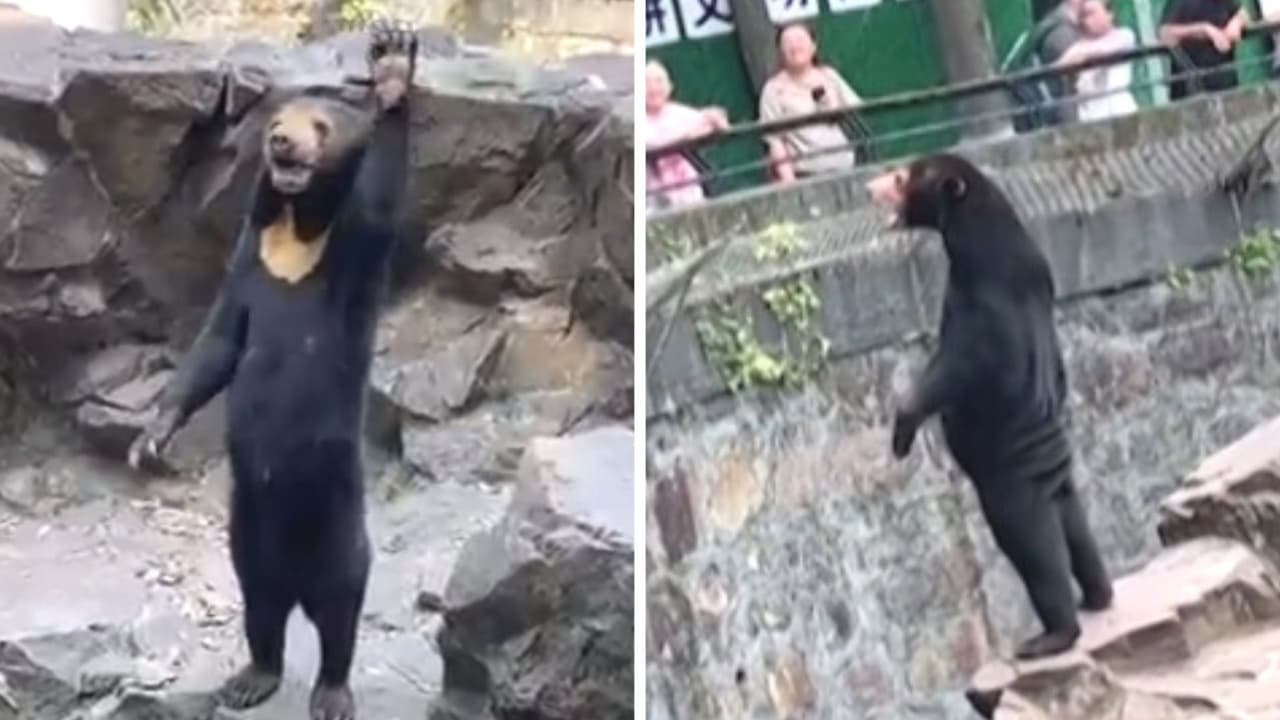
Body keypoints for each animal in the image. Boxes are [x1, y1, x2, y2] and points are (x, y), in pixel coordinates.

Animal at [126, 20, 418, 720]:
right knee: (260, 603)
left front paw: (393, 62)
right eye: (279, 121)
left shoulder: (351, 256)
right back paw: (250, 677)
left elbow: (381, 200)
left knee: (341, 601)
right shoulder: (249, 259)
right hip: (247, 531)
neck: (295, 232)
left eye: (319, 124)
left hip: (334, 512)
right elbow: (219, 343)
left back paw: (331, 691)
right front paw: (150, 438)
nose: (281, 140)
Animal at [866, 153, 1113, 660]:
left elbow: (950, 373)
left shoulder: (982, 308)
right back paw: (1097, 595)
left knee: (1035, 551)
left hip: (1011, 490)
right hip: (1061, 488)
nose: (868, 186)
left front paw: (901, 436)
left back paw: (1050, 635)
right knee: (1078, 532)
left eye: (902, 177)